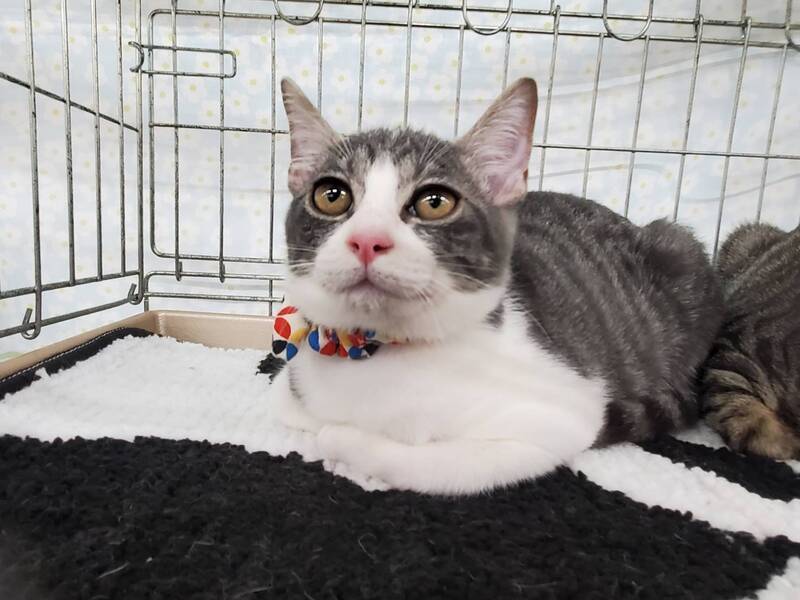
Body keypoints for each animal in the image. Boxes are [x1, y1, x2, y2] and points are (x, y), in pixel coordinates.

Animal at [267, 76, 723, 494]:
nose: (367, 240)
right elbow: (299, 411)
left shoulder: (557, 419)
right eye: (331, 196)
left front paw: (347, 447)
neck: (372, 351)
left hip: (680, 248)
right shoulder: (291, 387)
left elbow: (421, 461)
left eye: (435, 203)